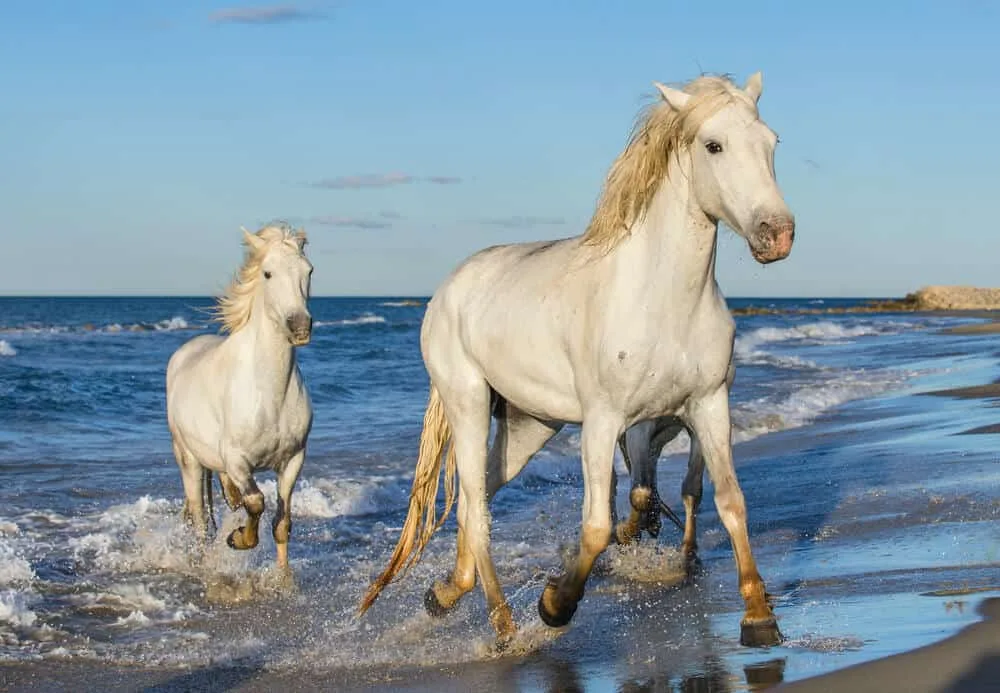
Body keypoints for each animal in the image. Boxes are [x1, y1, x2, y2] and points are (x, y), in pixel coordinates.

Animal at [166, 222, 314, 574]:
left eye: (308, 271)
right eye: (268, 273)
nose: (300, 327)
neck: (269, 394)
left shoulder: (293, 459)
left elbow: (281, 523)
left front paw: (283, 578)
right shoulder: (237, 460)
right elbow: (257, 502)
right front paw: (238, 539)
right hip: (188, 459)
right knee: (201, 521)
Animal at [358, 71, 794, 649]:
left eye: (771, 143)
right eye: (713, 145)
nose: (777, 234)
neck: (663, 299)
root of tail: (451, 285)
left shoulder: (708, 406)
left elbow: (728, 501)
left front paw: (758, 616)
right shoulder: (606, 421)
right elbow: (598, 525)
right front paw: (555, 604)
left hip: (529, 425)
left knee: (478, 501)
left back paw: (446, 593)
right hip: (467, 402)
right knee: (476, 509)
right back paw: (504, 625)